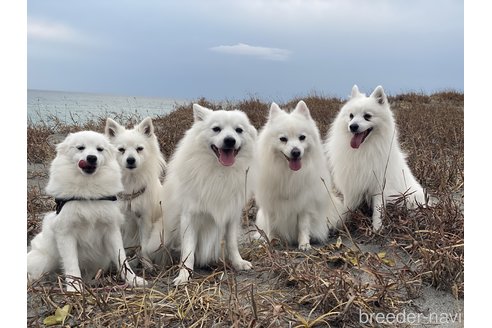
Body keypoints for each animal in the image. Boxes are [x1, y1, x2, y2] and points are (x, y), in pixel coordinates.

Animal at [26, 131, 145, 292]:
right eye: (80, 148)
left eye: (99, 149)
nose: (91, 157)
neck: (88, 192)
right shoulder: (66, 233)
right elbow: (71, 265)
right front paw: (74, 288)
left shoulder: (111, 231)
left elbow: (122, 260)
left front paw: (133, 280)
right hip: (45, 260)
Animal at [105, 117, 167, 266]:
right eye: (121, 150)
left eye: (139, 149)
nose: (131, 160)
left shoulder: (144, 218)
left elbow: (144, 244)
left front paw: (146, 263)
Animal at [161, 104, 260, 284]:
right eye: (216, 129)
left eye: (238, 130)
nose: (230, 140)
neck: (219, 172)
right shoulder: (189, 217)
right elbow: (188, 251)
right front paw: (184, 275)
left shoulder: (231, 216)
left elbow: (231, 243)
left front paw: (238, 263)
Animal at [256, 101, 344, 250]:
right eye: (283, 139)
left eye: (302, 137)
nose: (296, 152)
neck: (288, 173)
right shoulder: (270, 204)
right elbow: (271, 225)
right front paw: (271, 242)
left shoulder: (304, 204)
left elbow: (303, 226)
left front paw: (304, 244)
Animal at [322, 86, 426, 232]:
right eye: (351, 116)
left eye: (367, 116)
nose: (352, 126)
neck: (363, 149)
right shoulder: (350, 182)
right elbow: (347, 206)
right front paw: (341, 221)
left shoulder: (379, 184)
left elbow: (377, 210)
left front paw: (377, 228)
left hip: (411, 197)